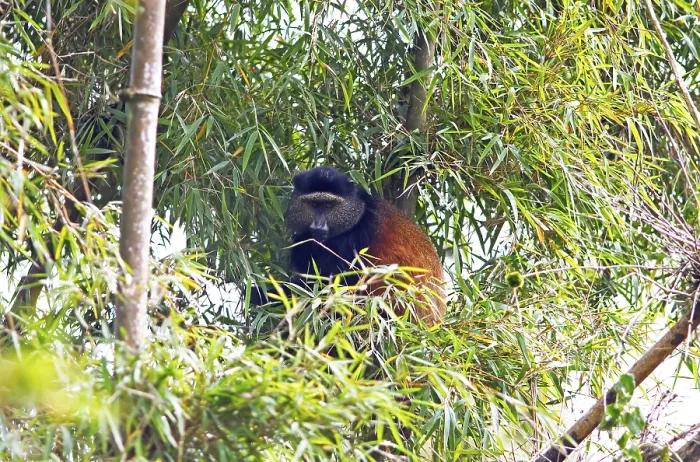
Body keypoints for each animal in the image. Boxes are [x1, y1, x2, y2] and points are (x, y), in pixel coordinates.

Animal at [253, 166, 445, 325]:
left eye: (328, 205)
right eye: (314, 204)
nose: (319, 225)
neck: (358, 214)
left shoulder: (355, 240)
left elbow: (332, 285)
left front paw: (261, 295)